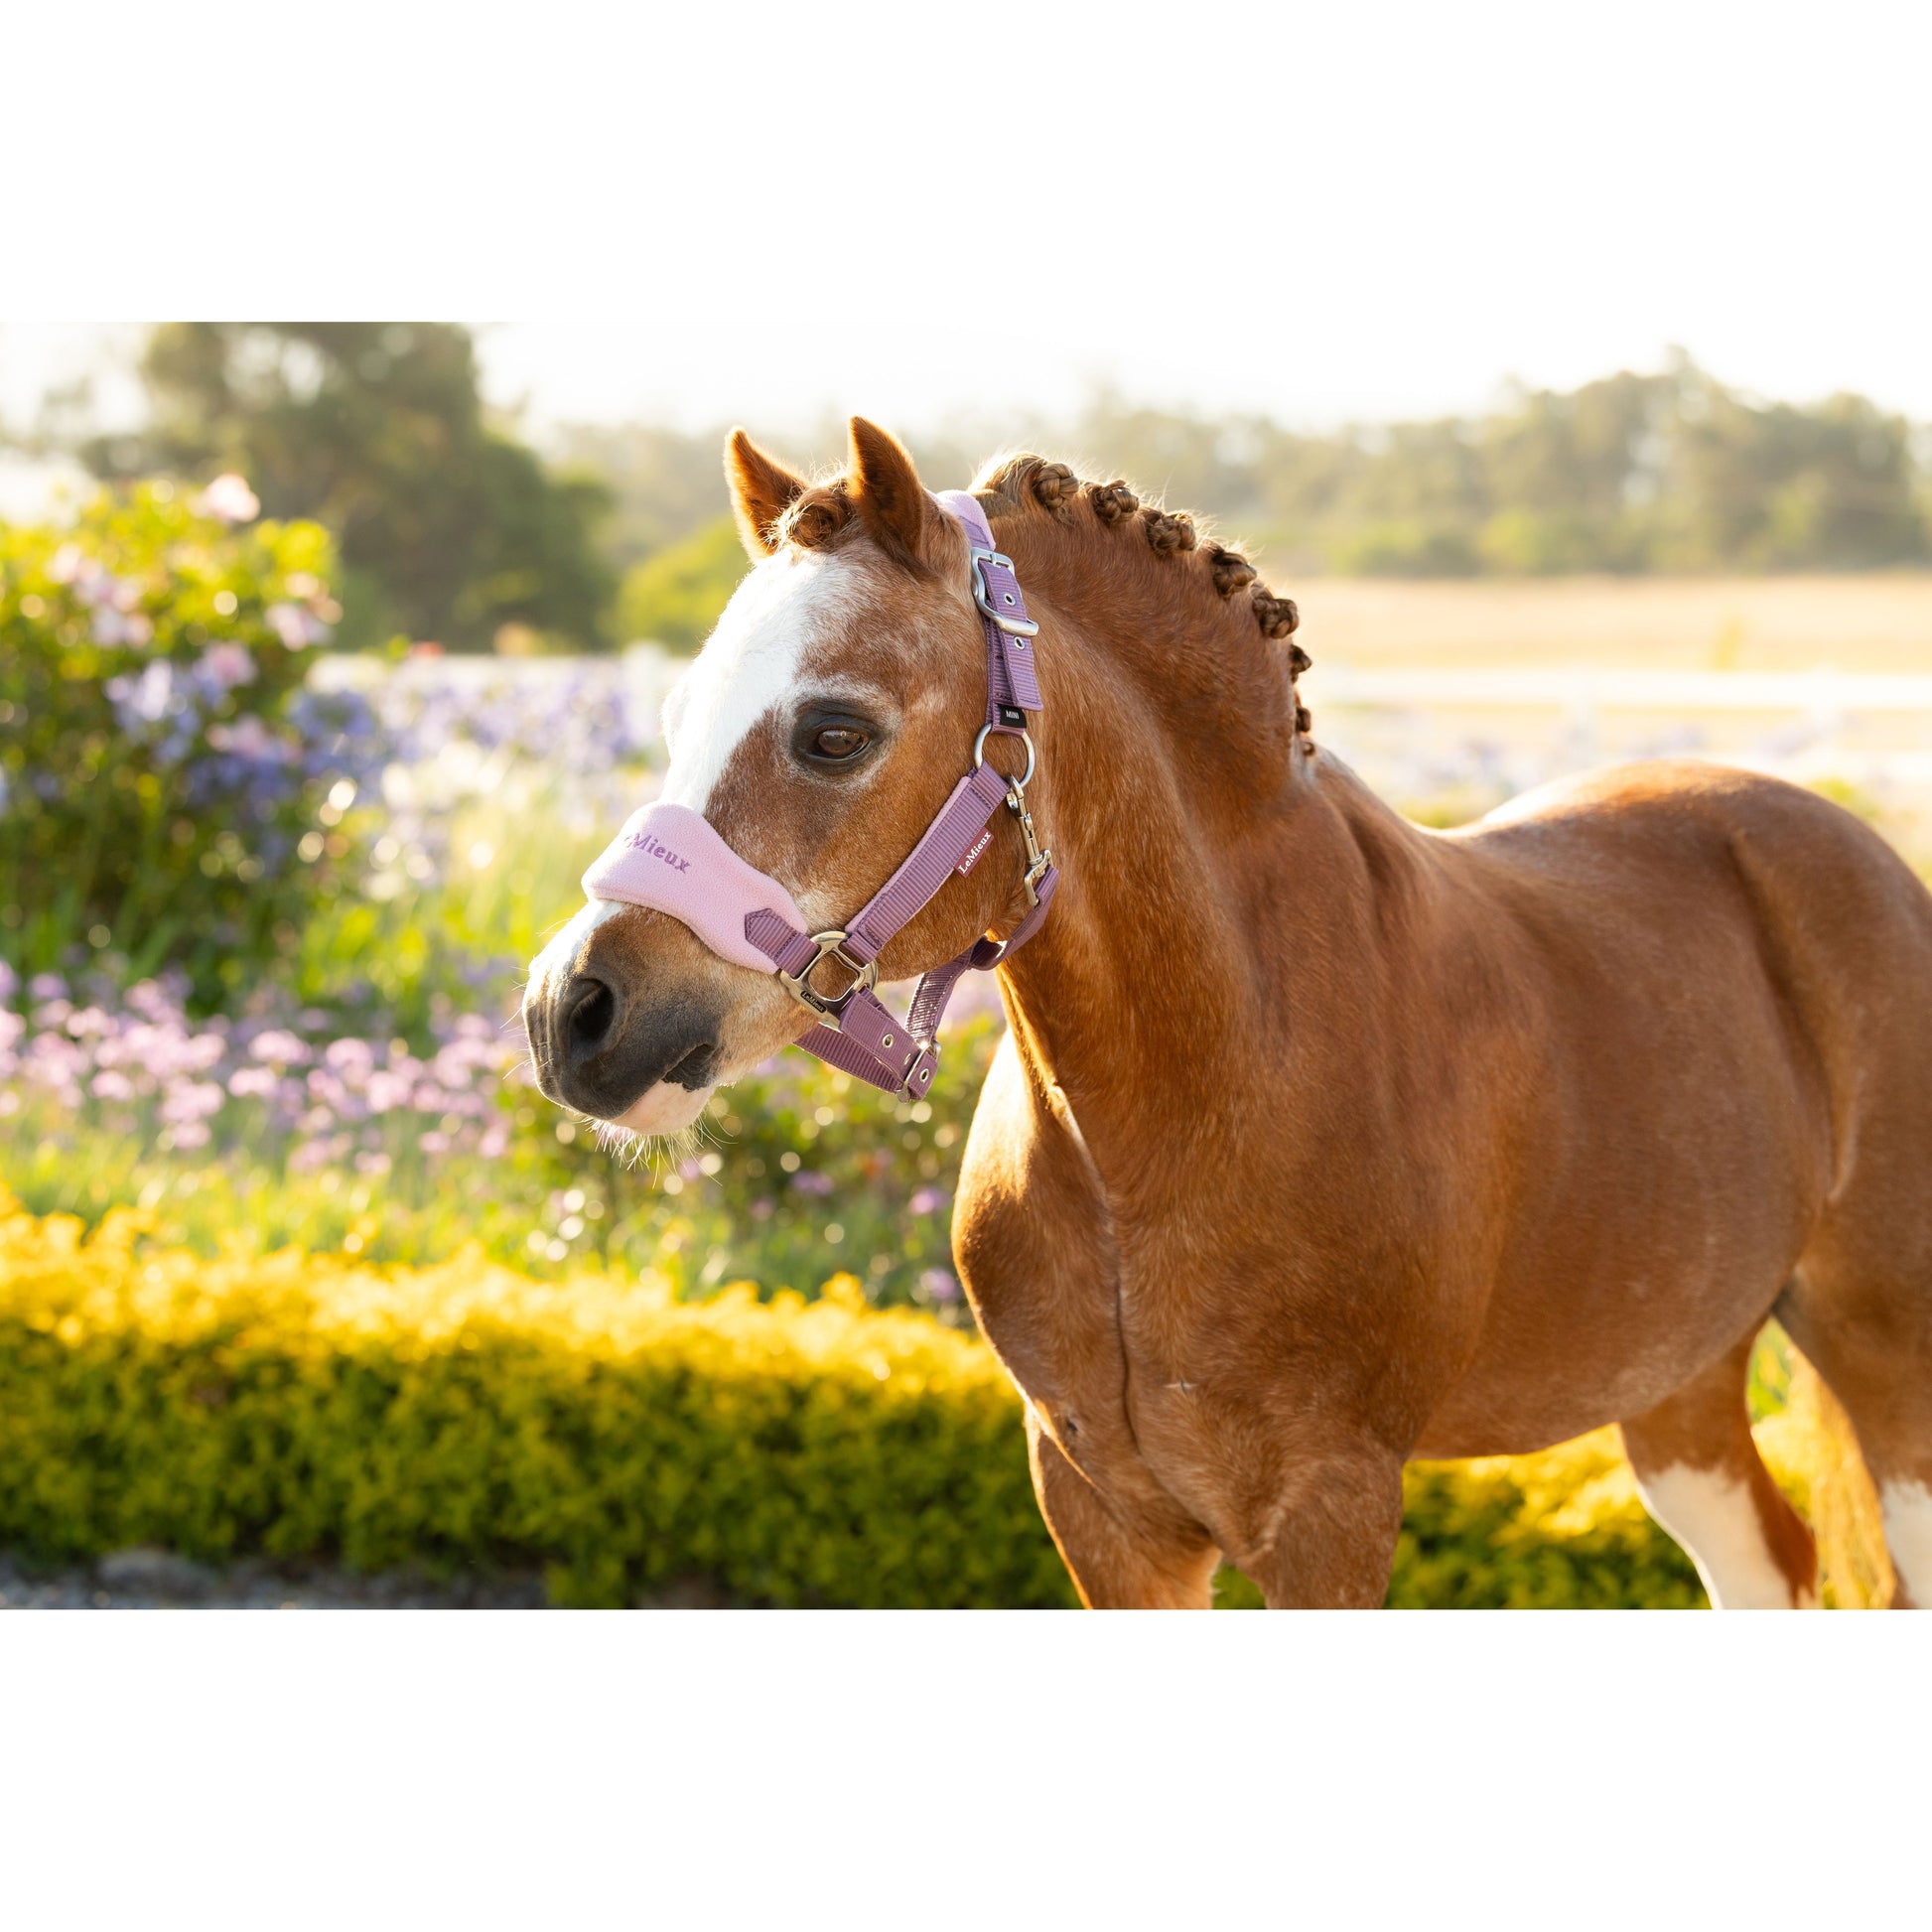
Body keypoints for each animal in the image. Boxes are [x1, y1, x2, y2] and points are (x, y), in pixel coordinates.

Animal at [524, 417, 1932, 1609]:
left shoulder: (1326, 1516)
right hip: (1679, 1382)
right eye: (673, 717)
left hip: (1888, 1376)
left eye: (831, 731)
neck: (1197, 1092)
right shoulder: (1106, 1514)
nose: (571, 1013)